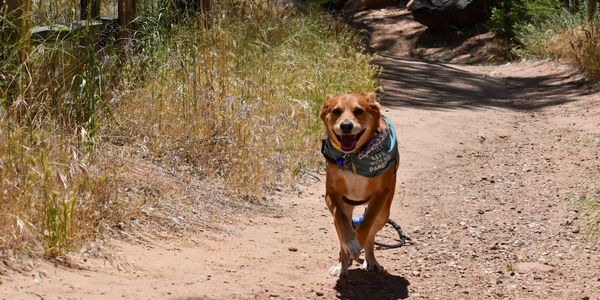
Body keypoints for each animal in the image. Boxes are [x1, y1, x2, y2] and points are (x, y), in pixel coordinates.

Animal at [318, 92, 398, 276]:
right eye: (336, 111)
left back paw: (370, 260)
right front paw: (351, 246)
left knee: (371, 234)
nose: (346, 125)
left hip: (384, 213)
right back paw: (342, 264)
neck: (353, 156)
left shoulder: (381, 194)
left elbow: (365, 225)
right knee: (343, 230)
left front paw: (357, 244)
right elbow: (342, 222)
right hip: (346, 208)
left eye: (359, 111)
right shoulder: (332, 194)